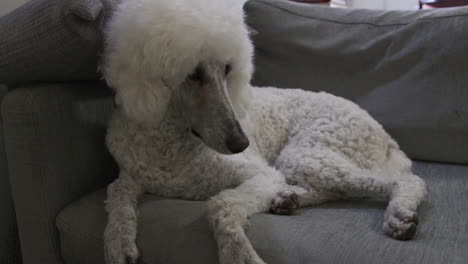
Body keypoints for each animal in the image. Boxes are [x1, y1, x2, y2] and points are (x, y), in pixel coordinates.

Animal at [101, 0, 424, 264]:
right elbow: (115, 195)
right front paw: (117, 243)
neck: (171, 139)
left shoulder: (260, 174)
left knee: (407, 181)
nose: (241, 142)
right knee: (336, 189)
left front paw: (237, 253)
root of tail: (383, 134)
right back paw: (288, 198)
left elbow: (221, 204)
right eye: (192, 73)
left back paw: (398, 214)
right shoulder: (129, 176)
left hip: (305, 153)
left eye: (227, 68)